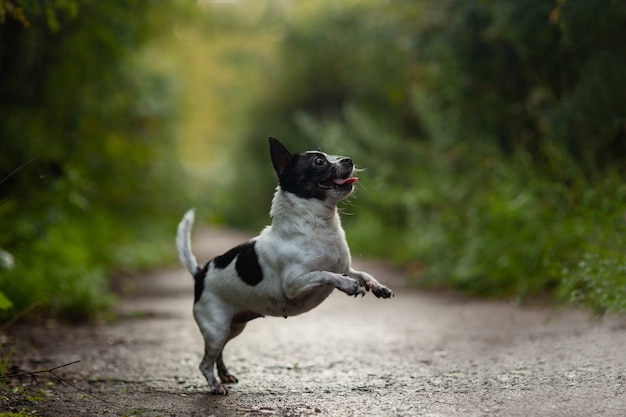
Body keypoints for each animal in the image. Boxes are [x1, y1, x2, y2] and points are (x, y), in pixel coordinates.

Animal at [174, 136, 390, 394]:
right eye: (319, 161)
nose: (348, 159)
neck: (317, 227)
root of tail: (200, 273)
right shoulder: (294, 284)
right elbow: (325, 273)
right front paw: (348, 286)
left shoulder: (345, 268)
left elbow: (362, 273)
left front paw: (377, 287)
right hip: (216, 329)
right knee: (205, 362)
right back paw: (215, 385)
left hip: (233, 328)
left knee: (219, 354)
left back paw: (224, 375)